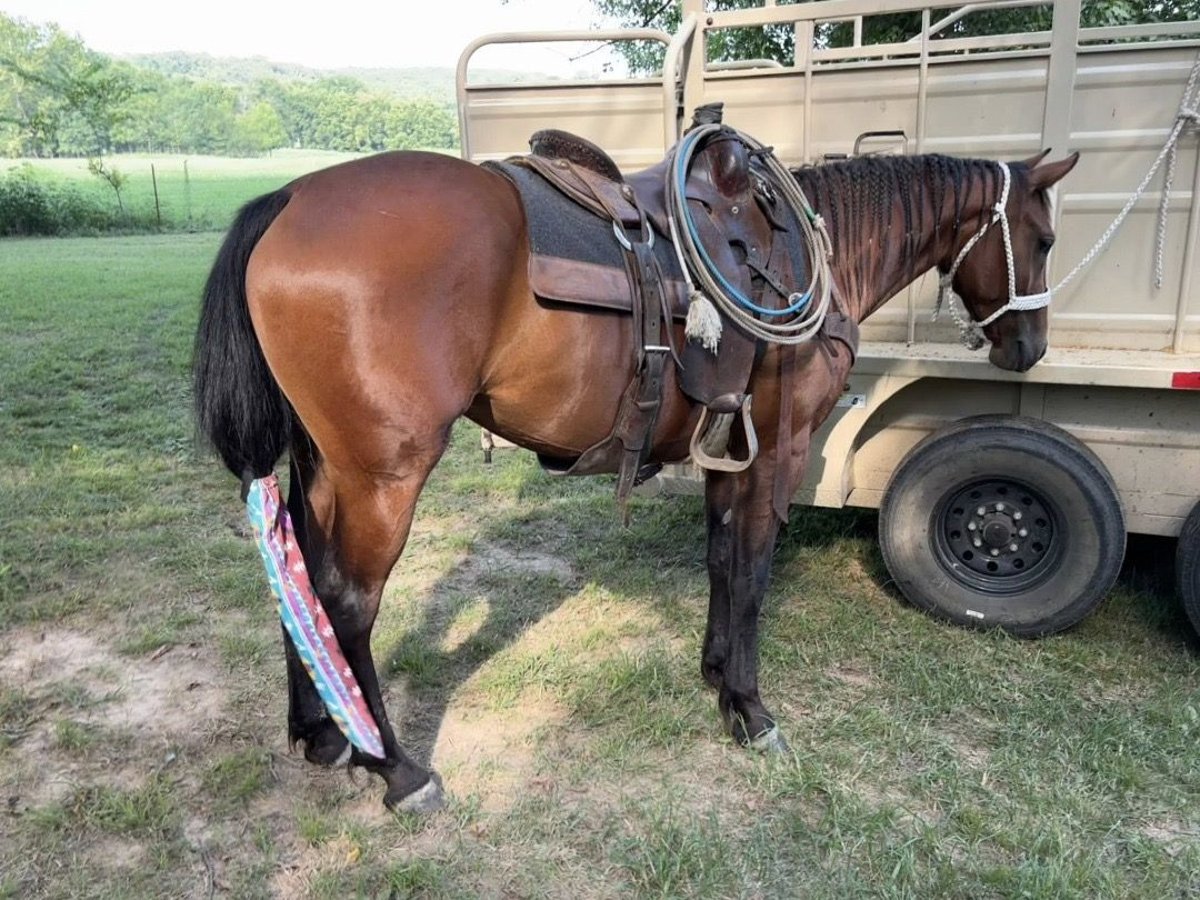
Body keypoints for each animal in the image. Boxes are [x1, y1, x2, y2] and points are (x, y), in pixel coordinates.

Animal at [192, 134, 1077, 812]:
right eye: (1043, 241)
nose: (1029, 349)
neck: (807, 254)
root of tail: (288, 199)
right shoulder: (780, 448)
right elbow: (752, 571)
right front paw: (751, 710)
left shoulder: (730, 449)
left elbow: (722, 559)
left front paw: (716, 677)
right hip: (384, 475)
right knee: (347, 601)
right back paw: (397, 768)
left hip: (323, 467)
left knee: (299, 575)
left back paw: (323, 736)